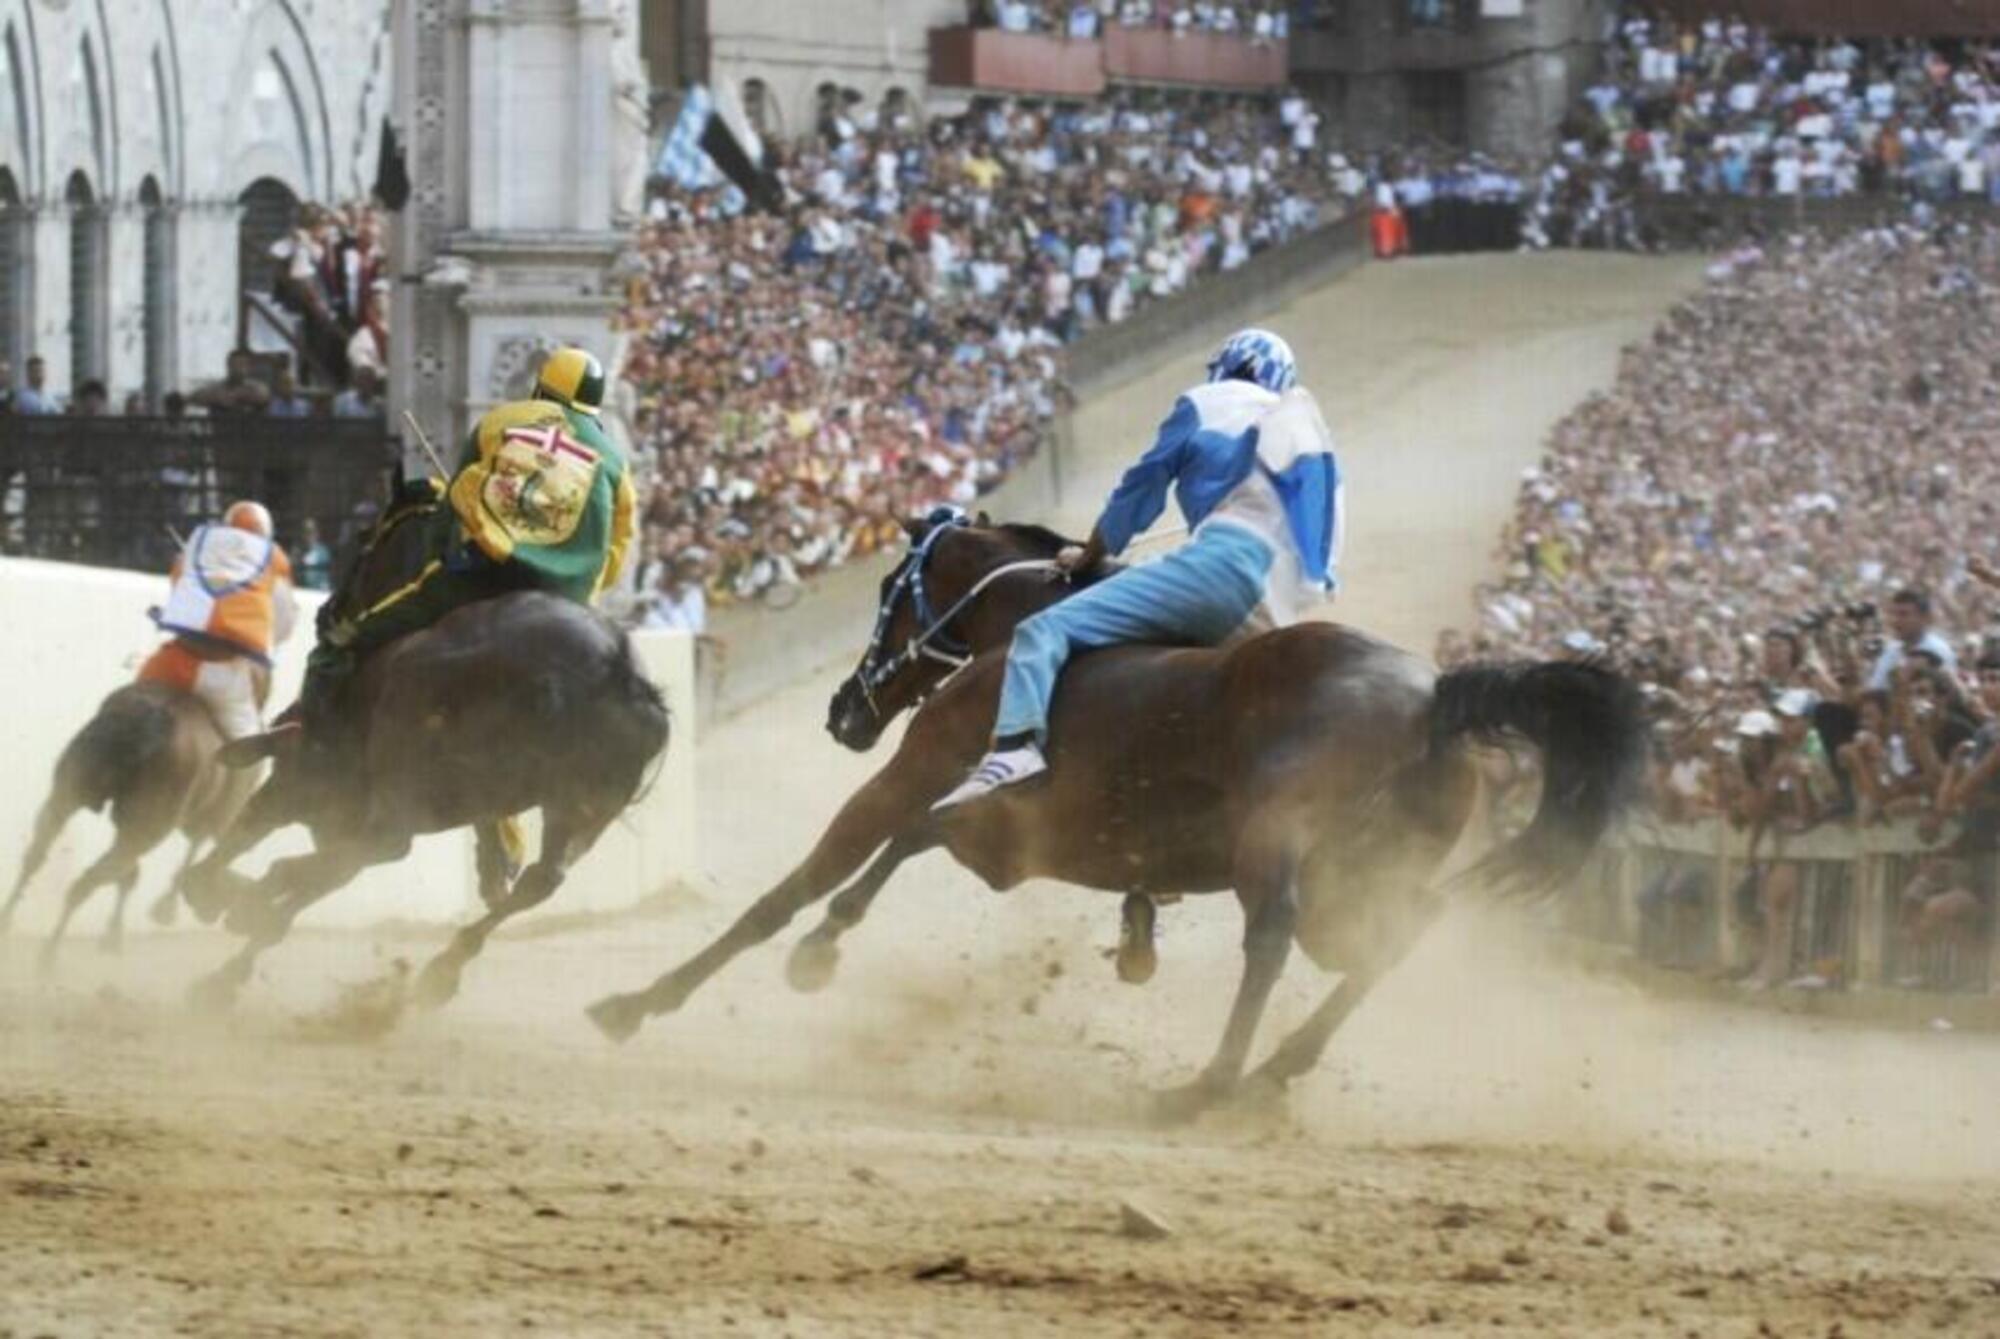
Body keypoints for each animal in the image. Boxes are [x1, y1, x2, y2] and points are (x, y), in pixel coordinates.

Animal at [2, 683, 250, 967]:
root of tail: (146, 722)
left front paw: (116, 936)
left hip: (71, 788)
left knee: (38, 853)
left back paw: (8, 923)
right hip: (151, 821)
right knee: (89, 879)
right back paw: (48, 957)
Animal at [178, 501, 672, 1007]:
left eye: (365, 537)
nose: (331, 611)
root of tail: (616, 672)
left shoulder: (300, 782)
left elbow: (247, 836)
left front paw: (219, 901)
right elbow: (312, 883)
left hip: (410, 772)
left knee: (382, 843)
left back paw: (258, 891)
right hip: (568, 809)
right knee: (541, 878)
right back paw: (442, 968)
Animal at [584, 519, 1640, 1127]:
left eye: (890, 591)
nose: (846, 708)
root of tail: (1434, 696)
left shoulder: (939, 785)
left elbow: (815, 877)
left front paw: (651, 997)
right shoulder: (1012, 830)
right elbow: (902, 848)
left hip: (1279, 849)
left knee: (1272, 938)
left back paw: (1204, 1085)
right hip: (1365, 883)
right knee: (1393, 937)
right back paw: (1274, 1070)